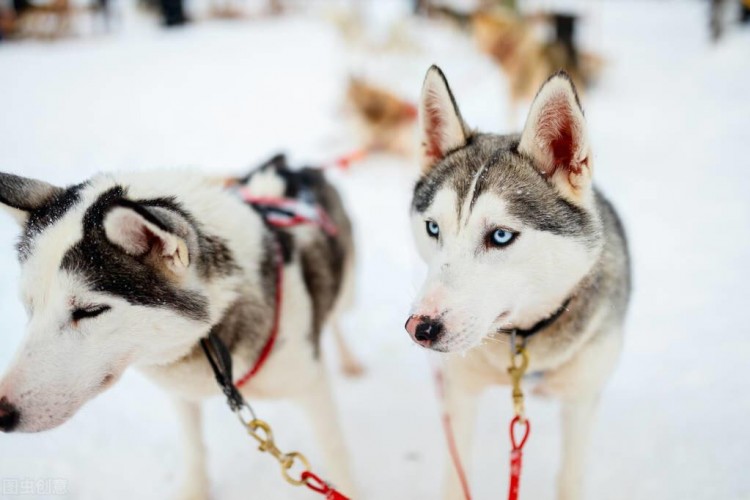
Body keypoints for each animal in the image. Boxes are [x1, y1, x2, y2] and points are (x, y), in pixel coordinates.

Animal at [0, 154, 362, 498]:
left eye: (89, 310)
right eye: (29, 305)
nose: (1, 414)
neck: (211, 334)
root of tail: (295, 168)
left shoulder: (311, 387)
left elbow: (335, 451)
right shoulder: (181, 393)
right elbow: (194, 449)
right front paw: (194, 491)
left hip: (345, 292)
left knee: (336, 318)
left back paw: (350, 361)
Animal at [408, 66, 632, 500]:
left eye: (500, 236)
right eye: (433, 228)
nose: (420, 329)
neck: (524, 342)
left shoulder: (581, 399)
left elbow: (570, 478)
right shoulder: (462, 392)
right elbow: (456, 476)